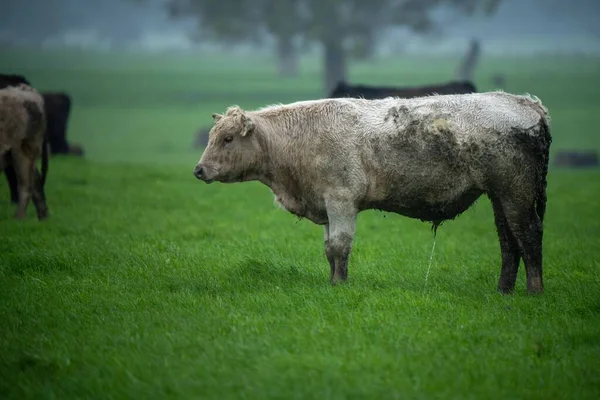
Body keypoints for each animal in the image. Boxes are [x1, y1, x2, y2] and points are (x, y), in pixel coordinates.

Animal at [193, 92, 552, 296]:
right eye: (212, 136)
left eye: (227, 139)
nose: (199, 170)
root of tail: (527, 103)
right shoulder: (326, 203)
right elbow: (329, 249)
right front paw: (333, 282)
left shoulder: (341, 201)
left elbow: (340, 246)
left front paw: (340, 285)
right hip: (499, 196)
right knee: (509, 241)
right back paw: (503, 290)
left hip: (516, 192)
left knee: (528, 235)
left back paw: (534, 291)